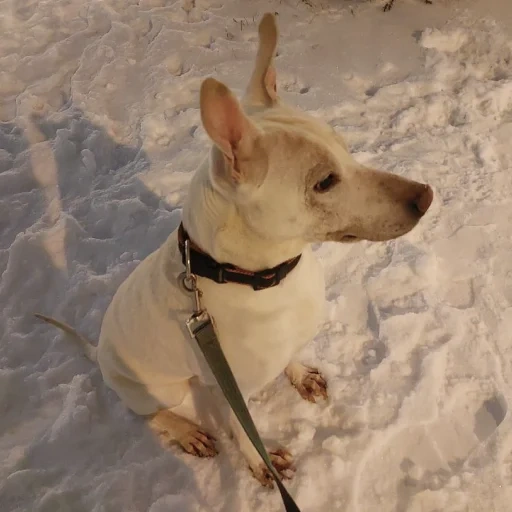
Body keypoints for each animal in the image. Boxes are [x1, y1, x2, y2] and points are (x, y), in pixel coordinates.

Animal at [37, 11, 432, 484]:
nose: (426, 196)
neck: (265, 278)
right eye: (324, 182)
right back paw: (186, 431)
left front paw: (300, 375)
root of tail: (98, 353)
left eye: (345, 147)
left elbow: (290, 357)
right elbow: (244, 430)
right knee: (149, 415)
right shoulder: (231, 388)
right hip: (156, 387)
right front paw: (262, 465)